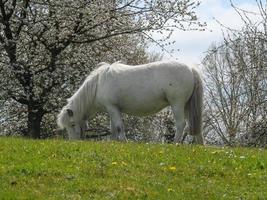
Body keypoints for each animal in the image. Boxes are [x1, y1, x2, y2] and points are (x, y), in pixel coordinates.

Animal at [58, 60, 205, 145]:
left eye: (72, 124)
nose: (73, 142)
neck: (98, 84)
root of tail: (191, 69)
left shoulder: (113, 108)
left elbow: (118, 127)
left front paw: (124, 141)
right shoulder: (112, 110)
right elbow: (113, 128)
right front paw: (112, 143)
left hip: (177, 105)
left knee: (181, 124)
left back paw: (174, 144)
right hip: (187, 106)